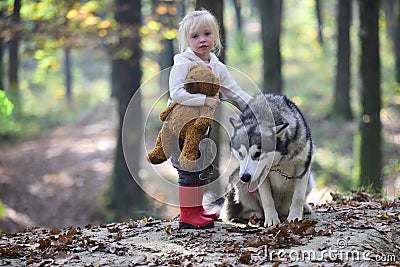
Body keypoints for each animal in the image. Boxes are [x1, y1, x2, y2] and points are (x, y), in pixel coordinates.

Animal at [217, 94, 314, 228]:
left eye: (257, 154)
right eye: (241, 154)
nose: (245, 177)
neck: (278, 162)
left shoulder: (303, 166)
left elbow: (298, 196)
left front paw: (295, 217)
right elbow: (267, 198)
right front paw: (272, 218)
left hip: (310, 180)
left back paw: (305, 206)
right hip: (236, 180)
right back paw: (254, 214)